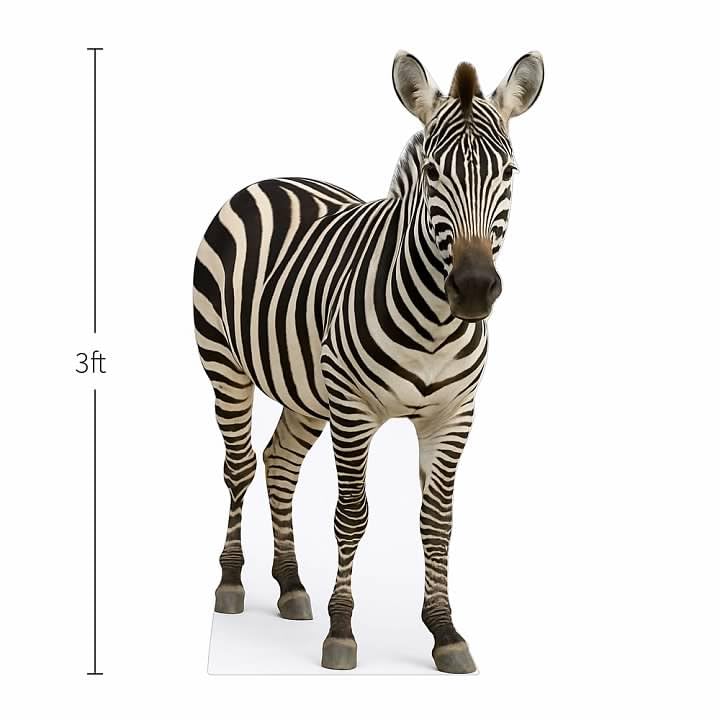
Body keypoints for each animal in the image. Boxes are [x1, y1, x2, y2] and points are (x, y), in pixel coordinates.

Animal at [193, 50, 544, 673]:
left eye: (509, 173)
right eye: (431, 173)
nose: (474, 290)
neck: (434, 326)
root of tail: (268, 179)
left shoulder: (453, 416)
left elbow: (437, 522)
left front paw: (445, 633)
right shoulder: (355, 412)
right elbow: (351, 516)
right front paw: (342, 632)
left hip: (308, 392)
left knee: (280, 464)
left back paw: (291, 586)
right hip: (224, 366)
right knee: (240, 467)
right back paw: (231, 583)